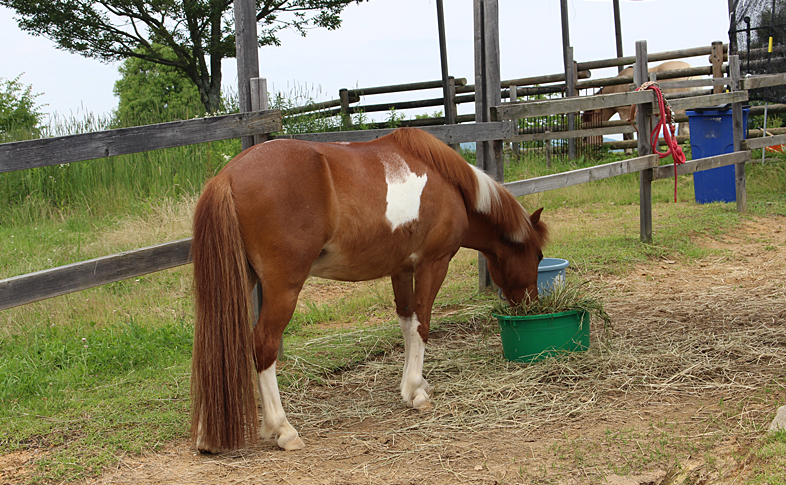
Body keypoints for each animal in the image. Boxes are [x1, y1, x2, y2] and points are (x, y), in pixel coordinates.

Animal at [189, 126, 544, 452]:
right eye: (538, 256)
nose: (531, 305)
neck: (451, 186)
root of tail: (227, 177)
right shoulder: (434, 263)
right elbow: (423, 324)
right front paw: (417, 392)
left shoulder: (401, 268)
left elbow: (406, 323)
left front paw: (413, 385)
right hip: (283, 287)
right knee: (263, 345)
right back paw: (283, 430)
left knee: (215, 345)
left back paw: (207, 436)